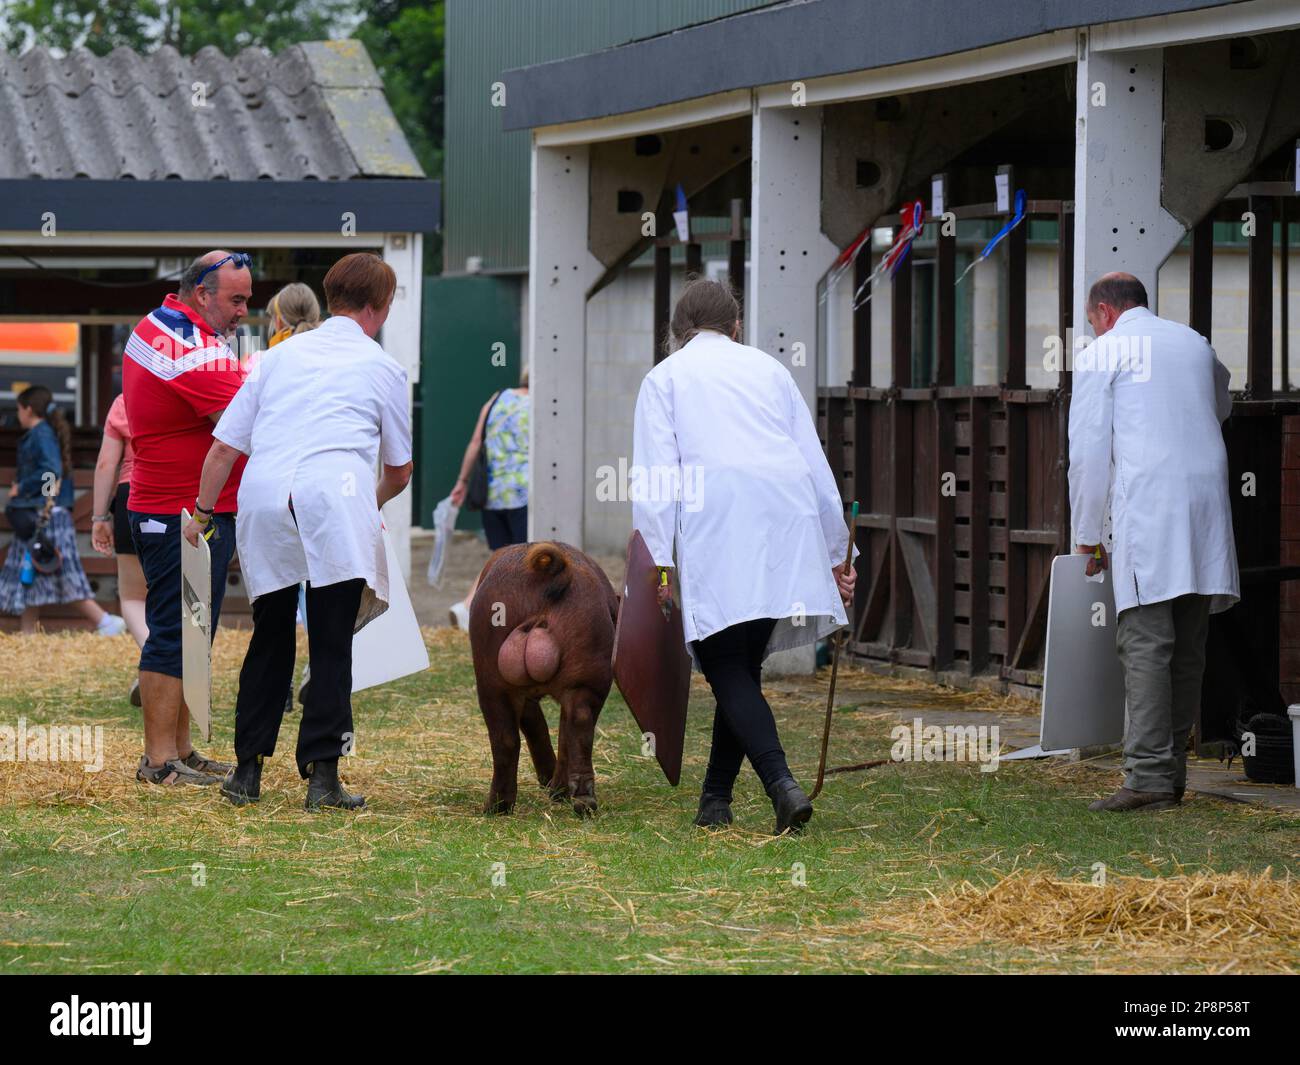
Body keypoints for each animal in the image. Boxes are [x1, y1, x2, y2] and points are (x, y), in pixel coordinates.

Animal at [470, 540, 621, 816]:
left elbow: (535, 723)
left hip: (492, 675)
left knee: (508, 738)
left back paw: (497, 807)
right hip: (587, 662)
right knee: (577, 724)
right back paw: (581, 802)